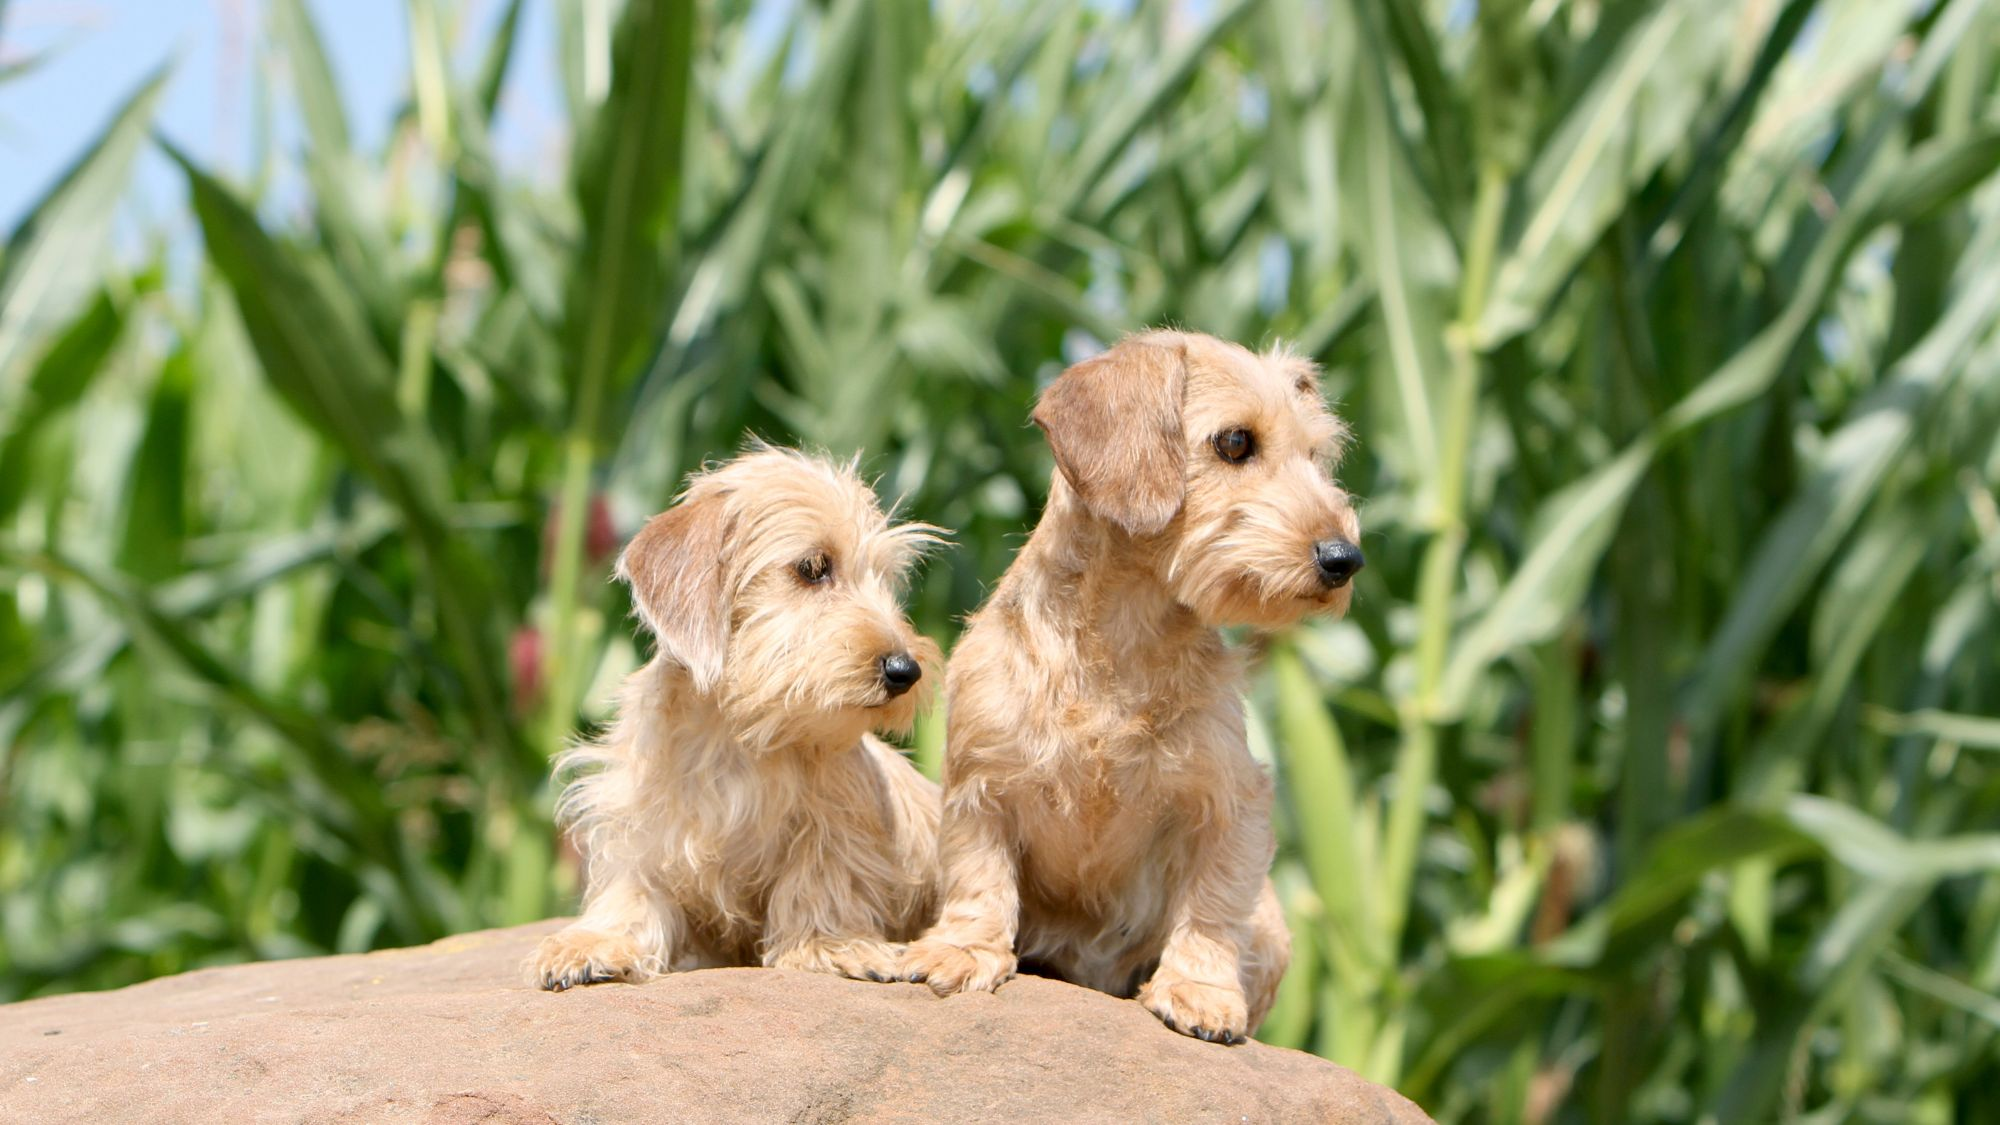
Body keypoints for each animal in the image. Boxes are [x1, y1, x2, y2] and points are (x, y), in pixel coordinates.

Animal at [524, 442, 944, 984]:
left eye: (887, 581)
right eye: (813, 566)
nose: (905, 670)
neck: (737, 735)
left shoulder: (837, 819)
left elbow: (821, 875)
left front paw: (828, 943)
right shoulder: (635, 819)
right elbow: (633, 890)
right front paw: (594, 942)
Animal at [900, 328, 1368, 1040]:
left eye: (1317, 456)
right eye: (1236, 442)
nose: (1345, 558)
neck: (1121, 643)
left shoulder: (1232, 803)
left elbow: (1211, 905)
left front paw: (1199, 991)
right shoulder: (982, 783)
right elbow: (979, 876)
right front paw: (962, 949)